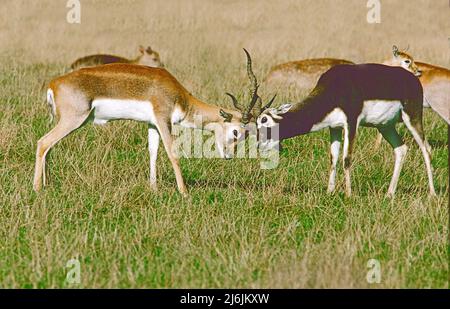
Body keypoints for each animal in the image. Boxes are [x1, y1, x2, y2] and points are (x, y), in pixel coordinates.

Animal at [33, 63, 244, 195]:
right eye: (236, 132)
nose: (229, 156)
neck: (179, 96)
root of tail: (53, 84)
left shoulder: (152, 123)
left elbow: (153, 152)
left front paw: (153, 188)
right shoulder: (163, 119)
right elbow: (172, 153)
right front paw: (184, 192)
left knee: (48, 147)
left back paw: (47, 185)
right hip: (73, 120)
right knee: (43, 142)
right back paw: (37, 189)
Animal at [230, 49, 434, 196]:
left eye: (264, 120)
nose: (259, 147)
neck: (335, 89)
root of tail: (413, 78)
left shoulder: (351, 122)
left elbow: (346, 158)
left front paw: (349, 195)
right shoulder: (334, 127)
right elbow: (333, 158)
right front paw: (330, 192)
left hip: (412, 117)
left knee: (425, 148)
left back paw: (432, 194)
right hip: (385, 125)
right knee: (401, 149)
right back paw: (389, 194)